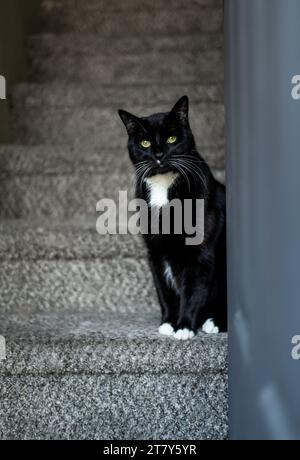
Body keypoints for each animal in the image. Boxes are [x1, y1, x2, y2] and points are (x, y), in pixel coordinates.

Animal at [118, 95, 226, 340]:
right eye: (145, 143)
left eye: (171, 138)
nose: (159, 155)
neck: (163, 185)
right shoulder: (155, 252)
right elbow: (163, 290)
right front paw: (168, 322)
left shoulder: (200, 254)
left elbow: (193, 290)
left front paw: (184, 326)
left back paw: (214, 322)